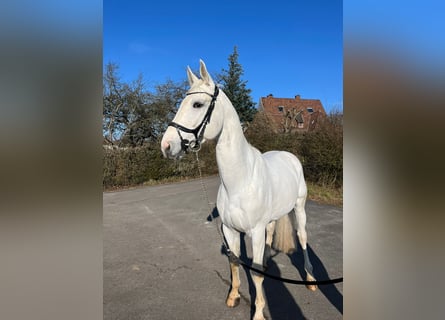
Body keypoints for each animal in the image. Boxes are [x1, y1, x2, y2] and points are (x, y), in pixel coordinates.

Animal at [161, 60, 314, 320]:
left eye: (197, 104)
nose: (166, 146)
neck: (240, 182)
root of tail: (289, 155)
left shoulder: (255, 232)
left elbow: (257, 273)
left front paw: (259, 313)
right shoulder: (230, 230)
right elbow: (234, 262)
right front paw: (233, 297)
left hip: (299, 208)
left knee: (302, 237)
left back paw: (311, 279)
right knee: (272, 232)